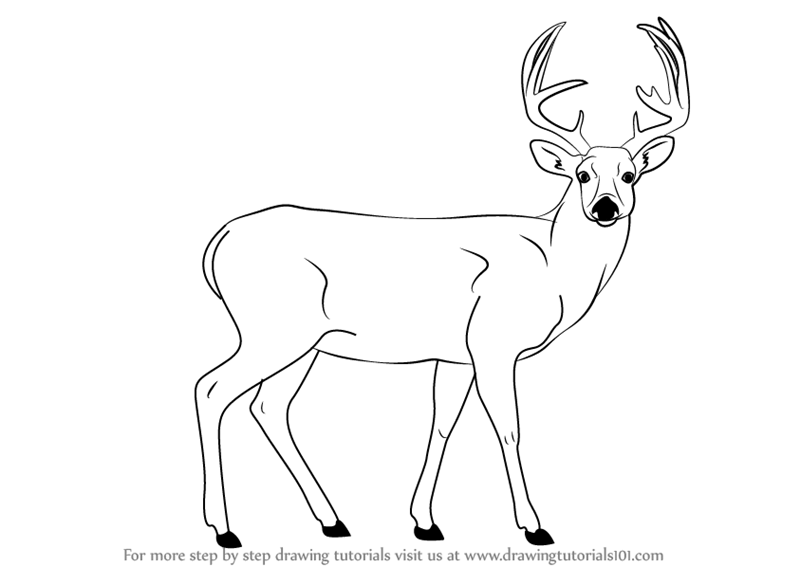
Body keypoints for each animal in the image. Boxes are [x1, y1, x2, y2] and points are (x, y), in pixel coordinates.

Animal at [194, 18, 690, 549]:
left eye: (630, 174)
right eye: (581, 174)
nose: (605, 207)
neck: (553, 267)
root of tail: (217, 242)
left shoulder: (456, 354)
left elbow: (442, 424)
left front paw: (424, 521)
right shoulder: (494, 342)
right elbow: (509, 427)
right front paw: (534, 525)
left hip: (305, 341)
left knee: (269, 406)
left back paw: (332, 520)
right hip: (272, 329)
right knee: (212, 389)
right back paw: (225, 528)